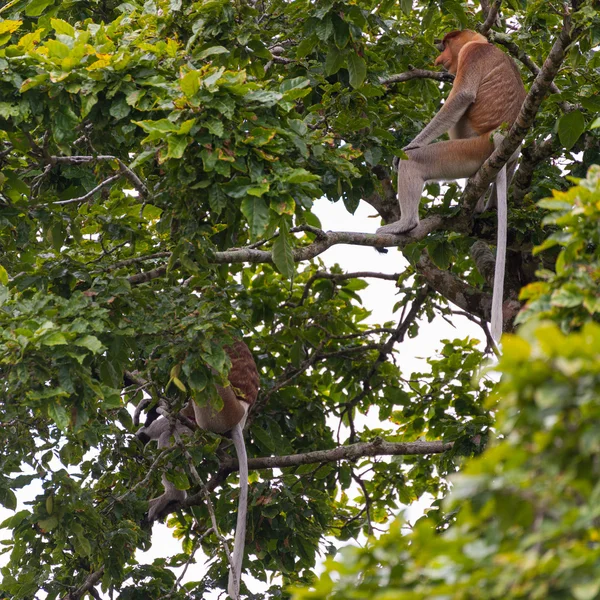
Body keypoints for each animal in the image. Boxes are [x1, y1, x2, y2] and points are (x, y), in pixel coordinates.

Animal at [378, 30, 528, 340]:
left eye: (446, 45)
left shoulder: (473, 55)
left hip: (470, 150)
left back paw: (405, 224)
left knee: (419, 160)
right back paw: (483, 204)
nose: (439, 60)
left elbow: (461, 97)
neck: (483, 43)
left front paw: (407, 148)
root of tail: (501, 140)